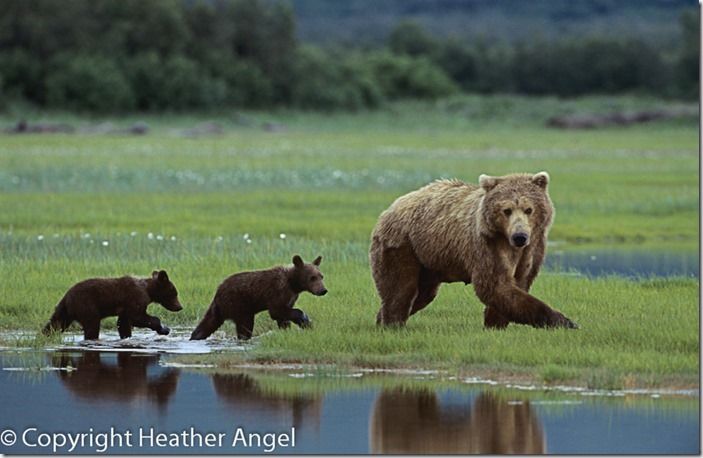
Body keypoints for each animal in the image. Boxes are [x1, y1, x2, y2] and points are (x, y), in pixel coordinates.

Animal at [42, 272, 183, 340]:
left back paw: (44, 335)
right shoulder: (135, 298)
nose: (180, 307)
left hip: (65, 311)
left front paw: (126, 336)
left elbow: (124, 323)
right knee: (92, 325)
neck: (148, 291)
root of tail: (66, 296)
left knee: (56, 323)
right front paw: (164, 329)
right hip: (86, 305)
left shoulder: (125, 308)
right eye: (175, 293)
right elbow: (137, 317)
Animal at [188, 254, 328, 340]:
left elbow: (283, 317)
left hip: (221, 309)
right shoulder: (277, 292)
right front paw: (304, 319)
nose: (323, 290)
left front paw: (299, 326)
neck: (293, 284)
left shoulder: (291, 297)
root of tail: (217, 292)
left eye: (321, 276)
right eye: (312, 277)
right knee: (245, 326)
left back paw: (195, 337)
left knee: (208, 323)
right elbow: (277, 311)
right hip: (239, 304)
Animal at [368, 172, 576, 330]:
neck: (507, 239)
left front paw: (495, 324)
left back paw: (380, 319)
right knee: (401, 289)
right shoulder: (487, 245)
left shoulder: (533, 247)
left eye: (529, 209)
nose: (520, 236)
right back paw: (392, 323)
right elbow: (494, 285)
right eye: (507, 210)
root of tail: (390, 208)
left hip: (429, 260)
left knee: (423, 294)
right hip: (403, 245)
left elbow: (518, 282)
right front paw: (565, 321)